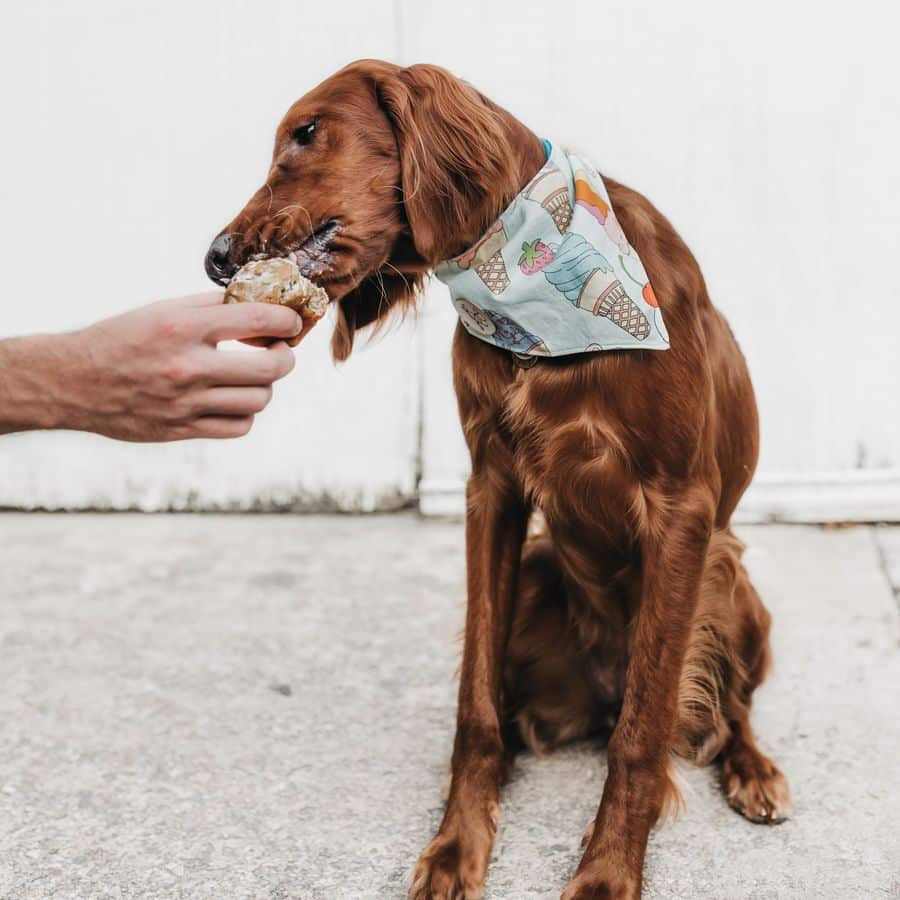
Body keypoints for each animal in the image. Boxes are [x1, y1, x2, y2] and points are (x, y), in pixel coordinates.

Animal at [207, 59, 792, 896]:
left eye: (308, 133)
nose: (215, 257)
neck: (530, 291)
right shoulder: (494, 489)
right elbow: (476, 704)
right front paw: (457, 844)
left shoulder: (682, 506)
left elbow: (645, 730)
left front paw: (608, 870)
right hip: (544, 576)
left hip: (730, 579)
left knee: (724, 710)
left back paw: (754, 770)